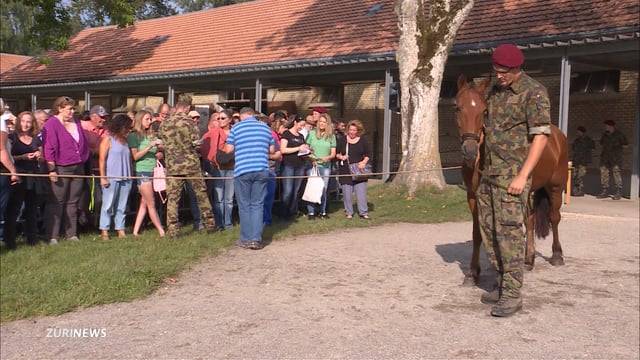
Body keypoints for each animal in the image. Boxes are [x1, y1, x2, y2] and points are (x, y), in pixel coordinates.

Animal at [452, 74, 568, 286]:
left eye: (484, 111)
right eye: (457, 107)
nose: (470, 150)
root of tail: (556, 135)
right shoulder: (473, 197)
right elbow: (477, 233)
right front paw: (473, 274)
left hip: (555, 187)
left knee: (554, 217)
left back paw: (557, 255)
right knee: (530, 220)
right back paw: (528, 260)